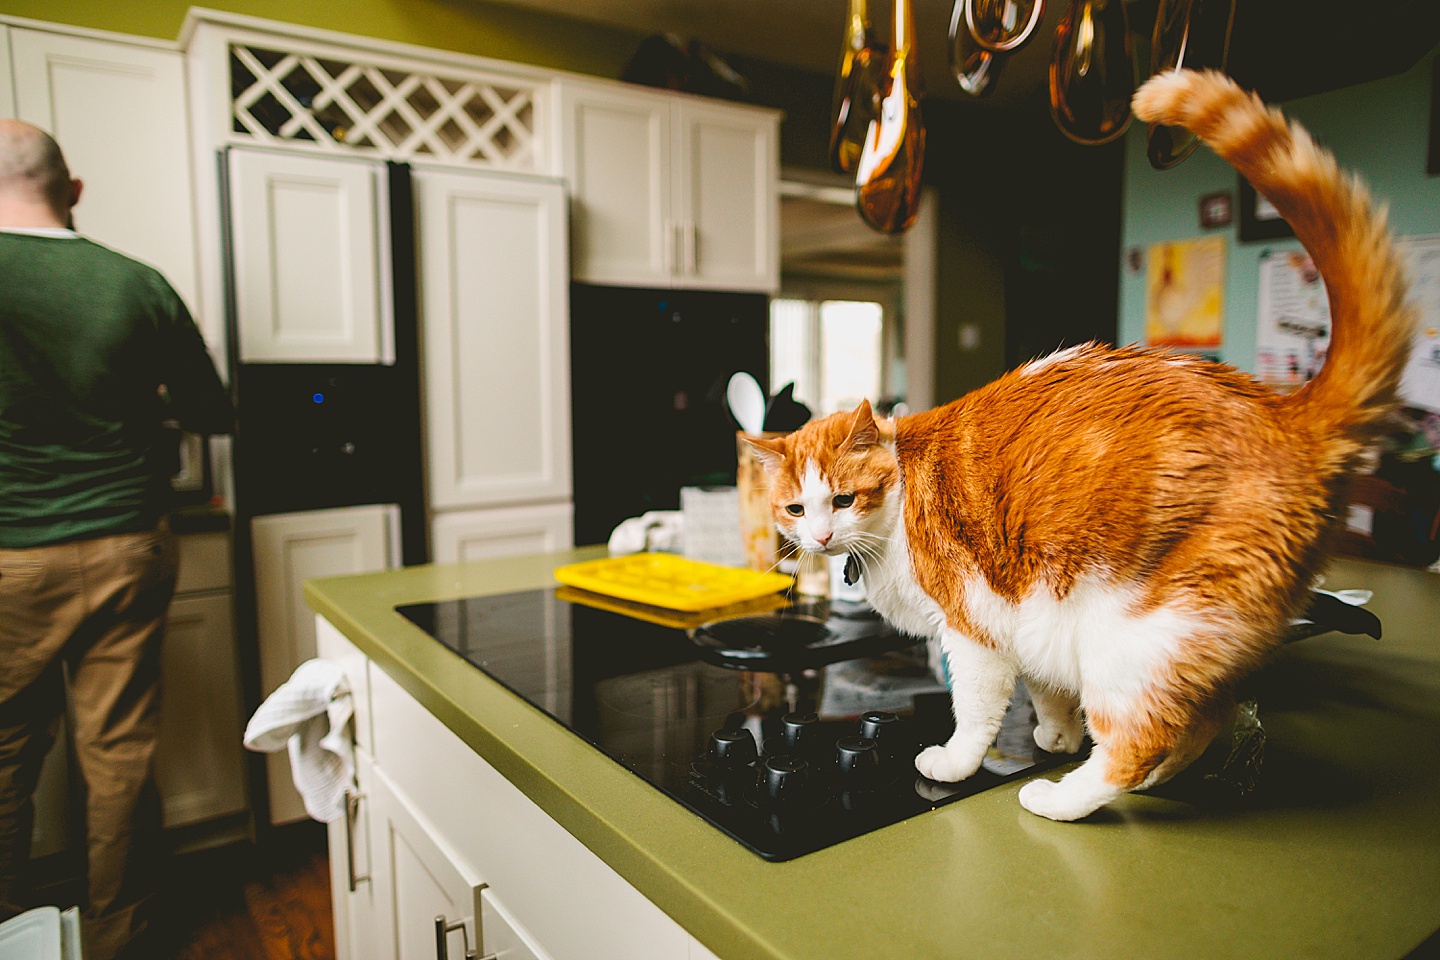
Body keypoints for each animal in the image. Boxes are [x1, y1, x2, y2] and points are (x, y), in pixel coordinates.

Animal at [748, 69, 1411, 817]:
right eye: (796, 509)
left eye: (843, 499)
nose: (822, 538)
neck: (892, 522)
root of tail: (1284, 412)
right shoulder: (1033, 622)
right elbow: (1047, 689)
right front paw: (1055, 734)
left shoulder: (974, 633)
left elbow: (974, 715)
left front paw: (955, 763)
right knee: (1199, 722)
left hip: (1137, 642)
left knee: (1141, 739)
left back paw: (1062, 798)